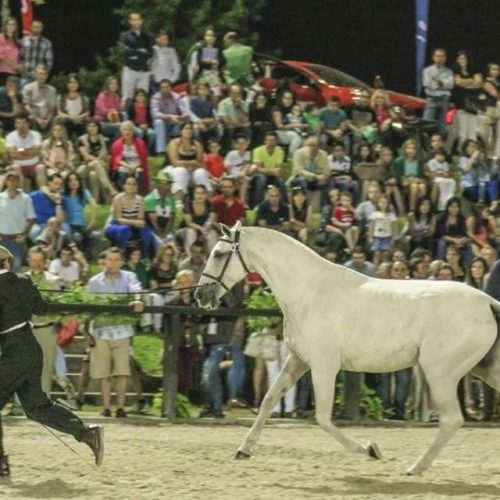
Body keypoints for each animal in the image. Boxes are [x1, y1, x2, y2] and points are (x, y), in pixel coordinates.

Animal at [193, 224, 500, 476]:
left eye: (219, 254)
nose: (200, 295)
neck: (308, 292)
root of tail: (487, 302)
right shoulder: (298, 360)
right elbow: (269, 399)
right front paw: (243, 450)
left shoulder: (324, 366)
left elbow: (322, 418)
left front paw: (371, 450)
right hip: (483, 370)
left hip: (440, 373)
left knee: (451, 420)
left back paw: (415, 468)